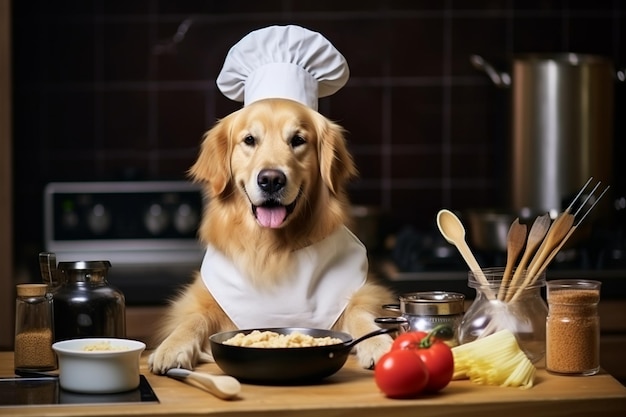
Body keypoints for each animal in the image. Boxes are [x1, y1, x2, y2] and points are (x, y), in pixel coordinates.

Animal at [148, 98, 392, 374]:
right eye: (249, 140)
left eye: (298, 140)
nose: (271, 180)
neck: (272, 249)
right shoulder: (202, 296)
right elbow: (192, 318)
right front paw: (171, 347)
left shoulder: (362, 291)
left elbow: (359, 312)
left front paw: (378, 343)